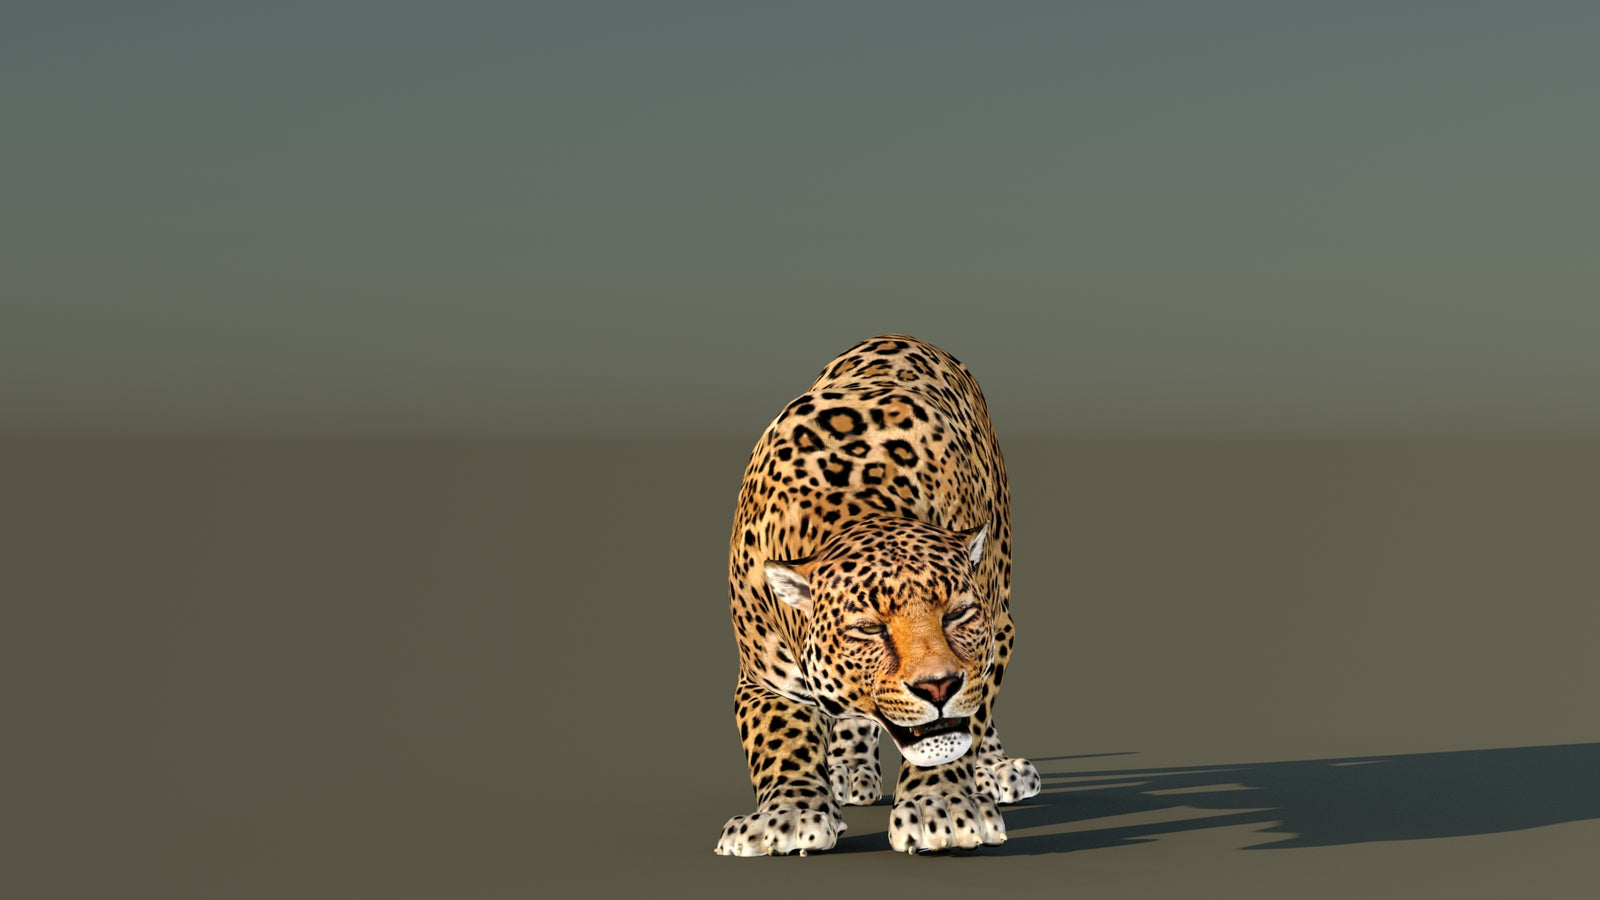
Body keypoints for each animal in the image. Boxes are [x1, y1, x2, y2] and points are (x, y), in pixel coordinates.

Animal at [715, 334, 1041, 857]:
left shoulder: (996, 635)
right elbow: (780, 741)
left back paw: (995, 770)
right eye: (868, 629)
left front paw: (939, 807)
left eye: (958, 615)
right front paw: (789, 815)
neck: (855, 509)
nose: (938, 687)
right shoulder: (764, 679)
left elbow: (962, 724)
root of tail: (903, 335)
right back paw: (847, 769)